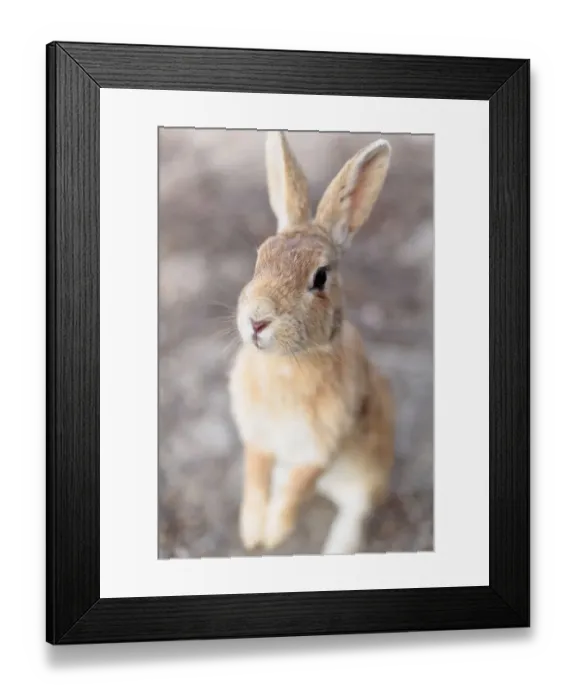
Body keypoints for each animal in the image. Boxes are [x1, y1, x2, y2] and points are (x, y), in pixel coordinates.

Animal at [228, 131, 395, 556]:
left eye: (320, 277)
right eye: (260, 258)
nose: (257, 320)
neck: (288, 361)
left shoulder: (321, 447)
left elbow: (297, 489)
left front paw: (273, 534)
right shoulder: (259, 439)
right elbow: (255, 475)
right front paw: (252, 532)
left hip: (368, 473)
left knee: (355, 508)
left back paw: (338, 548)